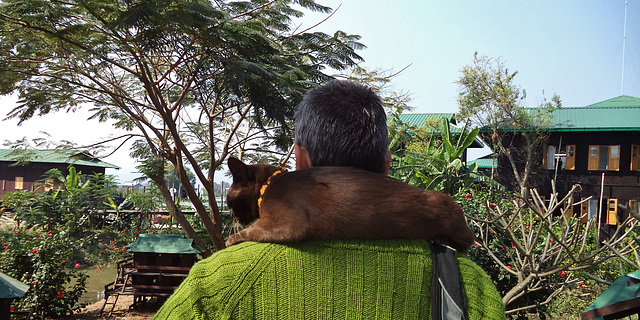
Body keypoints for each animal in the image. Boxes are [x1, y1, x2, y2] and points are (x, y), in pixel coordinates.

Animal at [225, 158, 476, 252]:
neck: (270, 184)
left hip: (448, 209)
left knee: (468, 241)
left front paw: (229, 239)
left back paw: (441, 239)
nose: (231, 216)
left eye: (228, 202)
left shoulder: (286, 224)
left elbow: (250, 231)